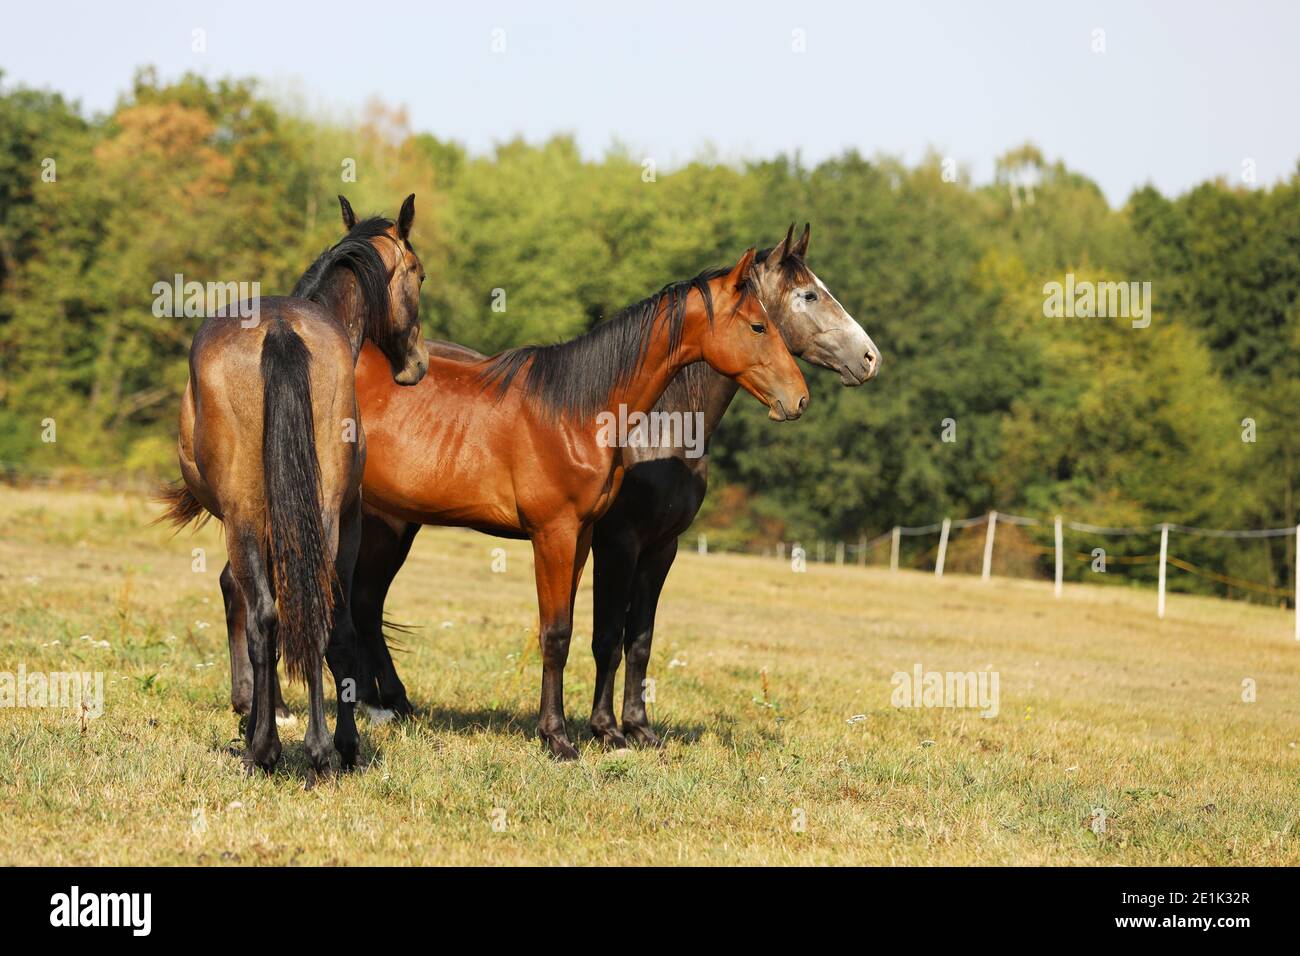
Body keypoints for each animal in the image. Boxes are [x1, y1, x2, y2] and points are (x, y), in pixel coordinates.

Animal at [160, 192, 428, 770]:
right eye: (419, 272)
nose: (416, 365)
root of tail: (281, 329)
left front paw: (260, 717)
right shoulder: (338, 519)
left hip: (250, 518)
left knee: (264, 612)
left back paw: (271, 745)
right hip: (318, 516)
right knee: (311, 614)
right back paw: (322, 746)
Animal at [351, 222, 878, 749]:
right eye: (805, 296)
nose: (869, 358)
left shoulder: (649, 545)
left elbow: (636, 639)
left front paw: (635, 727)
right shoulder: (592, 539)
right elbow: (581, 634)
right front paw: (581, 734)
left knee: (364, 606)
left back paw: (387, 704)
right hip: (382, 526)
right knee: (361, 604)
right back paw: (379, 705)